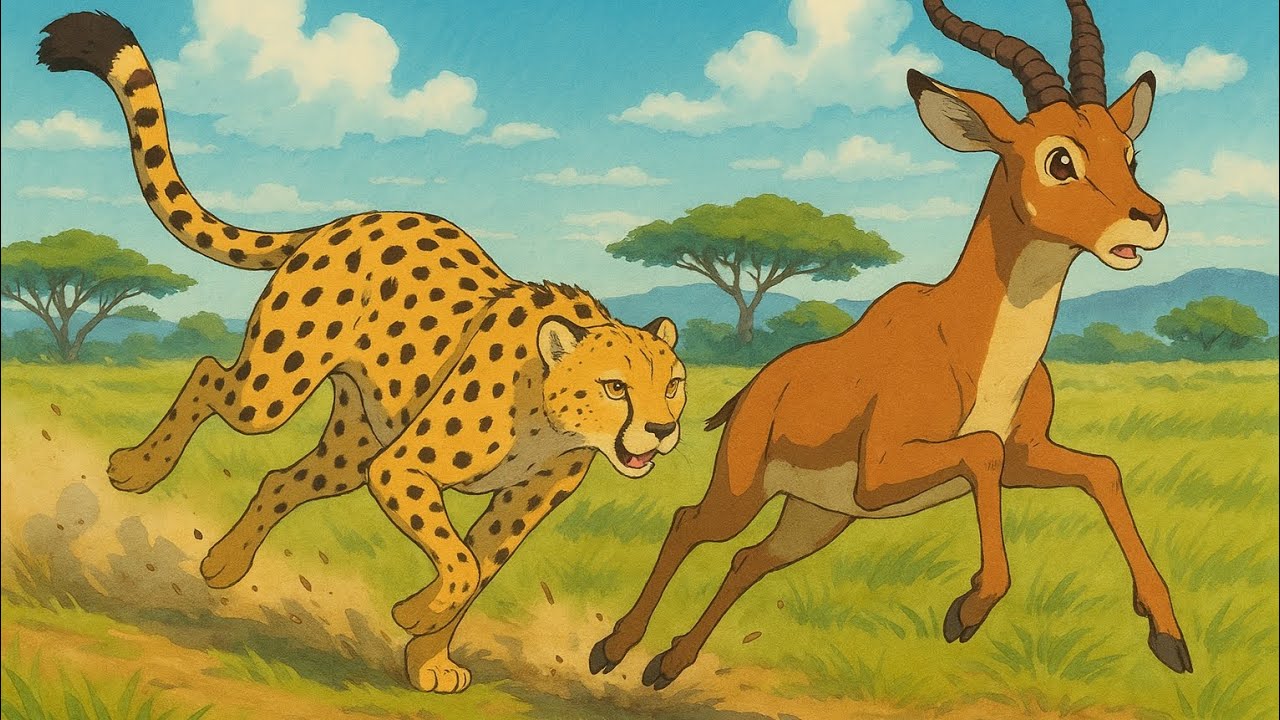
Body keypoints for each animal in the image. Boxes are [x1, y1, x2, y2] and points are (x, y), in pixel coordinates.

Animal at [38, 11, 687, 693]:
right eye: (616, 387)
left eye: (672, 386)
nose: (661, 429)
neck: (549, 414)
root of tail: (344, 220)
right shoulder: (402, 467)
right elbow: (461, 563)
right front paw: (414, 614)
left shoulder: (516, 505)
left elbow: (477, 571)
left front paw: (426, 656)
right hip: (273, 392)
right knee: (211, 375)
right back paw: (140, 468)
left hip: (352, 446)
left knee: (280, 477)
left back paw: (223, 564)